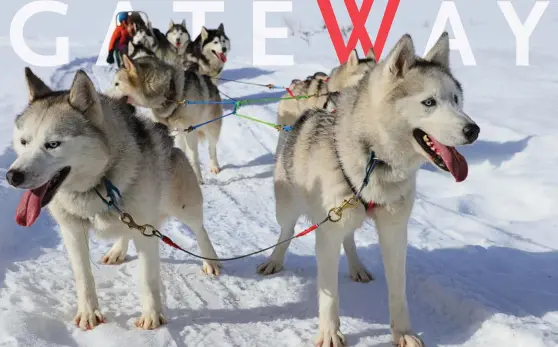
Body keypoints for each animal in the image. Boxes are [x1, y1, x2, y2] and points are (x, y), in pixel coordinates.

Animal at [6, 68, 222, 332]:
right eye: (24, 142)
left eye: (53, 144)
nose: (12, 176)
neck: (98, 184)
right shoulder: (72, 230)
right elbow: (83, 276)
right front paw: (89, 313)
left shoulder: (145, 232)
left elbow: (147, 278)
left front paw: (152, 316)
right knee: (125, 230)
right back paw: (118, 250)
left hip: (183, 205)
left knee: (199, 229)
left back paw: (210, 260)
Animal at [107, 55, 223, 185]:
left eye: (117, 84)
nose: (105, 96)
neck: (170, 93)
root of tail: (211, 83)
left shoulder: (190, 130)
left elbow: (194, 155)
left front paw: (198, 179)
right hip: (181, 134)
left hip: (211, 129)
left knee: (212, 148)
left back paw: (214, 166)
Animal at [258, 31, 482, 346]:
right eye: (429, 102)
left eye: (456, 99)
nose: (473, 130)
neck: (373, 158)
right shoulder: (327, 234)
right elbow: (329, 295)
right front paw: (330, 333)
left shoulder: (394, 231)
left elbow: (398, 290)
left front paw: (403, 332)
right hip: (289, 206)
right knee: (286, 232)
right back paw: (274, 261)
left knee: (349, 239)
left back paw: (357, 267)